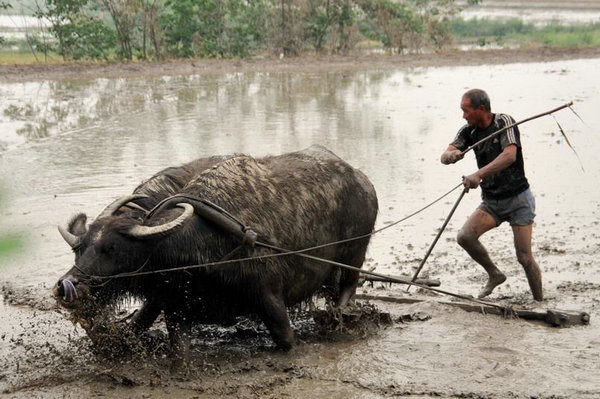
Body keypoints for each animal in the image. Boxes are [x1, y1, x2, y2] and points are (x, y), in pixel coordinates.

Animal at [54, 146, 378, 362]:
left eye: (112, 248)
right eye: (80, 248)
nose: (66, 287)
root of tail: (362, 179)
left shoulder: (268, 296)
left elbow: (286, 339)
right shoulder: (175, 306)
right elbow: (168, 343)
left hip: (355, 250)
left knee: (349, 284)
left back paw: (339, 316)